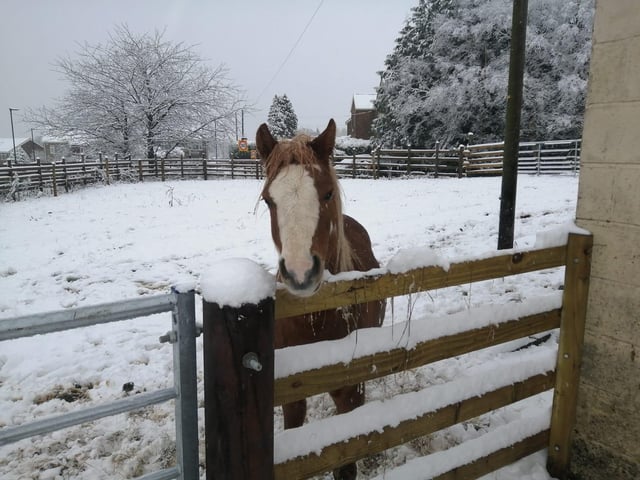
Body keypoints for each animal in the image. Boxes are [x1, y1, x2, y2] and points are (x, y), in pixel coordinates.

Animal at [256, 119, 386, 480]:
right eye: (268, 200)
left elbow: (346, 467)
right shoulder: (291, 396)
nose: (300, 272)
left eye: (327, 193)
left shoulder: (350, 393)